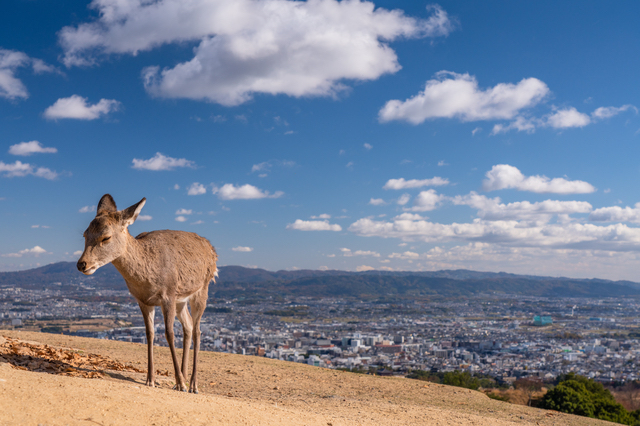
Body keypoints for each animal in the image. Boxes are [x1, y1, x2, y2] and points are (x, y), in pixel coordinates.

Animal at [77, 194, 218, 392]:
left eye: (106, 237)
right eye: (85, 234)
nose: (82, 264)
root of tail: (212, 250)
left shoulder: (168, 294)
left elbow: (168, 333)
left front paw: (180, 383)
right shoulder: (143, 300)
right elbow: (150, 334)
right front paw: (150, 380)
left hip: (202, 288)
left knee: (197, 330)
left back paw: (191, 385)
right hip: (181, 300)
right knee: (188, 326)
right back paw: (181, 378)